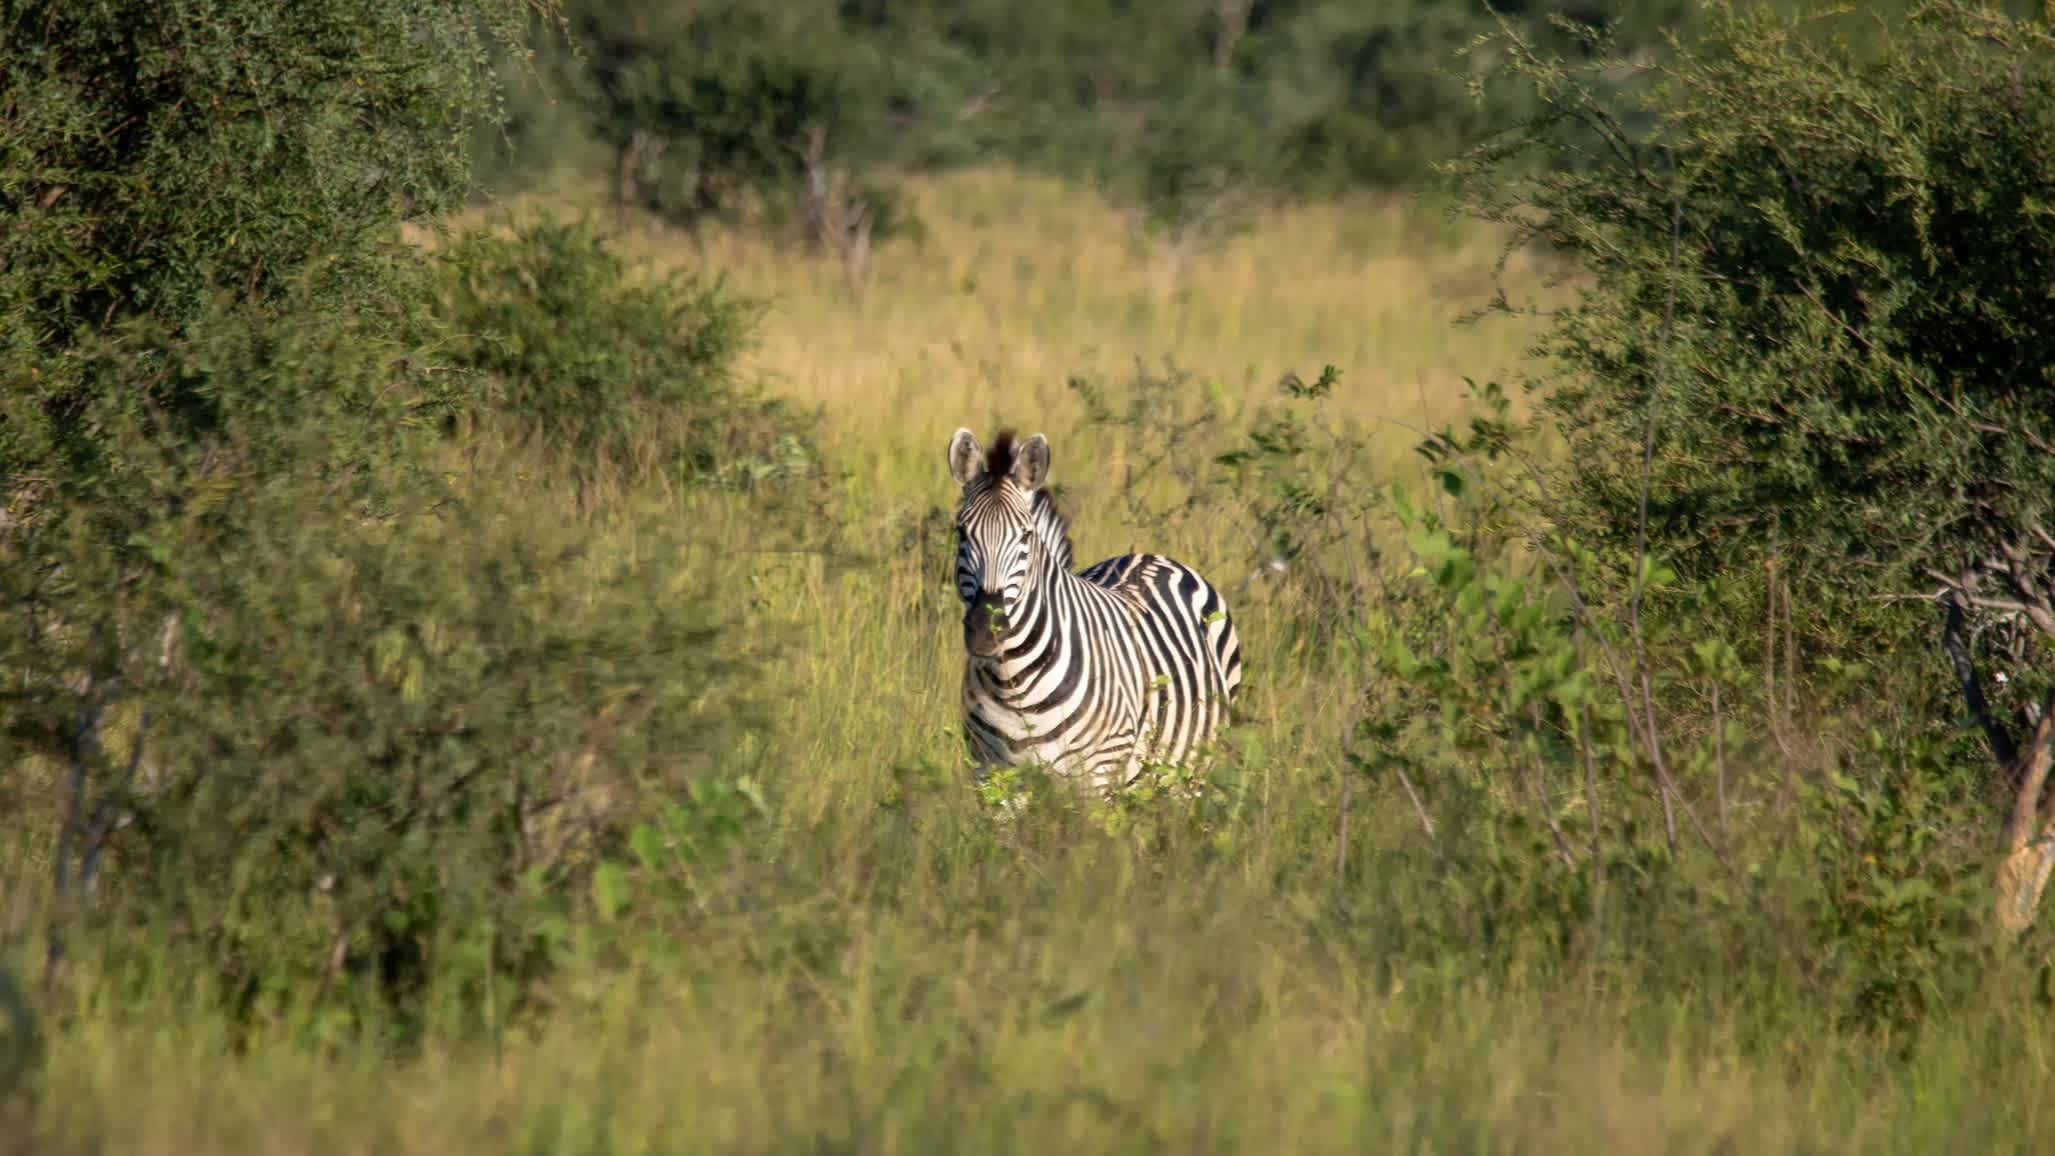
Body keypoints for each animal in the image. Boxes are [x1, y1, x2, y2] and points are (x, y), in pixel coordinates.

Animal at [941, 425, 1241, 796]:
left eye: (1026, 536)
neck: (1014, 687)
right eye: (962, 532)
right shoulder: (991, 776)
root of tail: (1152, 556)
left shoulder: (1097, 777)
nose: (985, 630)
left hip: (1189, 774)